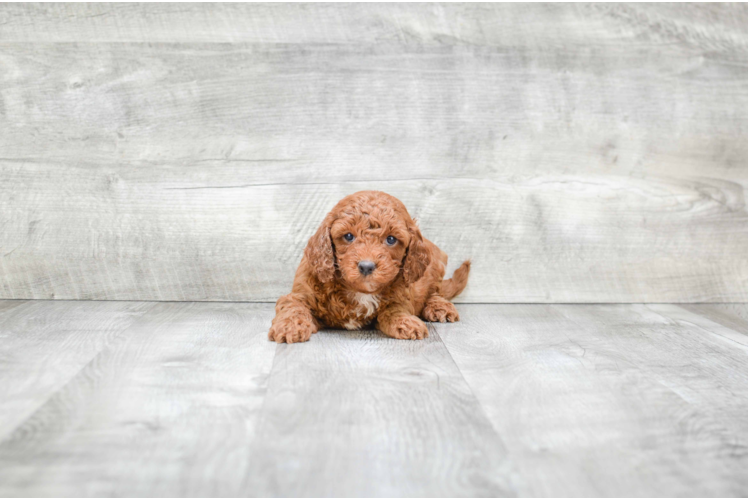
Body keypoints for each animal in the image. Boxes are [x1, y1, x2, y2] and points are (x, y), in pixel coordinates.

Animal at [268, 189, 468, 342]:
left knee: (435, 291)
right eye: (349, 236)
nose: (366, 266)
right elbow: (293, 308)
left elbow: (394, 310)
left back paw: (439, 307)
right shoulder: (299, 294)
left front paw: (405, 322)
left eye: (391, 239)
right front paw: (290, 327)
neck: (358, 291)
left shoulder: (401, 295)